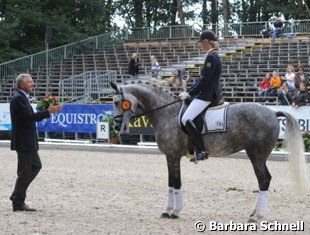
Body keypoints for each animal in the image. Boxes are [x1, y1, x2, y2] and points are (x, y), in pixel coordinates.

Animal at [110, 81, 308, 220]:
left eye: (118, 101)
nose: (117, 125)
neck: (167, 113)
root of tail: (273, 113)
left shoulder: (173, 155)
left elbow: (175, 182)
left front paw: (173, 211)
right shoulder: (171, 156)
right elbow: (172, 182)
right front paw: (170, 211)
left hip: (256, 155)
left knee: (264, 180)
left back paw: (257, 215)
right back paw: (254, 213)